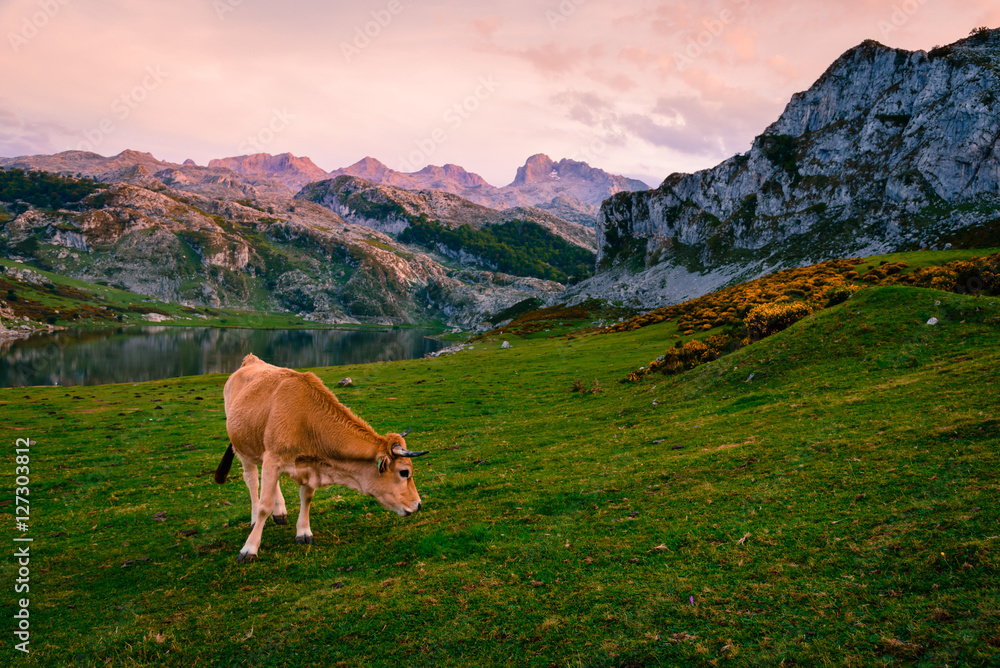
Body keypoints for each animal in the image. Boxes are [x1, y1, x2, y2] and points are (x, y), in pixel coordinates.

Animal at [215, 354, 426, 564]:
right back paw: (254, 518)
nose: (418, 505)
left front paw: (303, 531)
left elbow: (306, 497)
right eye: (404, 472)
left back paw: (280, 511)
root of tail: (250, 360)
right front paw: (249, 548)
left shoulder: (307, 464)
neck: (305, 418)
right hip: (243, 447)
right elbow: (264, 506)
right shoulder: (273, 457)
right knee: (251, 480)